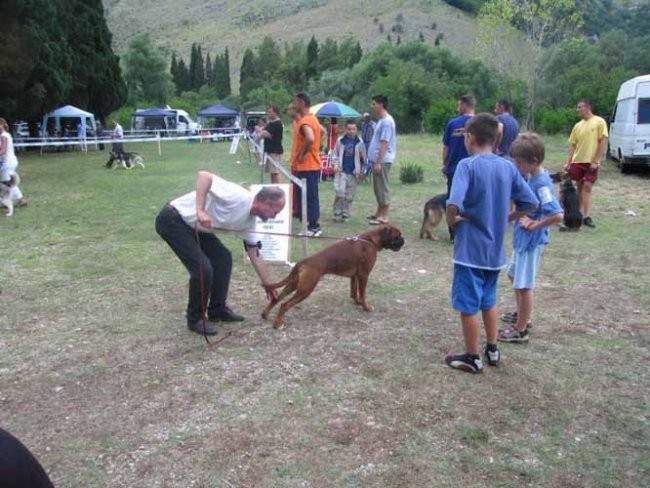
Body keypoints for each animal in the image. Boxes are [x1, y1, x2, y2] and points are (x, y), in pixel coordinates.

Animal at [260, 224, 402, 330]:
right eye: (397, 236)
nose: (403, 240)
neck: (371, 240)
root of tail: (303, 262)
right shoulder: (364, 275)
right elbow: (362, 294)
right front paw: (366, 307)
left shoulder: (354, 276)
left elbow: (354, 292)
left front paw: (357, 302)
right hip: (305, 289)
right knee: (284, 304)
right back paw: (278, 324)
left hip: (293, 285)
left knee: (276, 299)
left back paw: (265, 314)